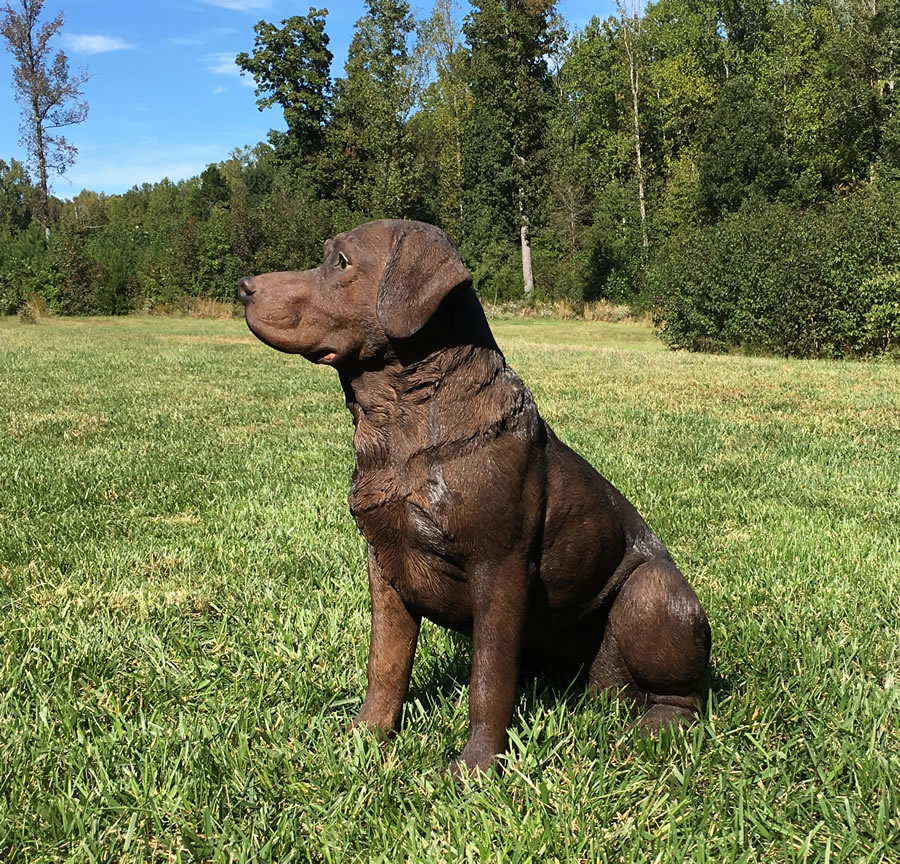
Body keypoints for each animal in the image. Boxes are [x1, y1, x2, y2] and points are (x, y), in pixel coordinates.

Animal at [237, 219, 712, 772]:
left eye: (341, 262)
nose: (243, 286)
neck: (400, 421)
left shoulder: (499, 567)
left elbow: (488, 679)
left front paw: (475, 769)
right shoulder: (384, 563)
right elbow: (385, 664)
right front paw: (365, 738)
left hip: (652, 595)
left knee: (683, 695)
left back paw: (656, 730)